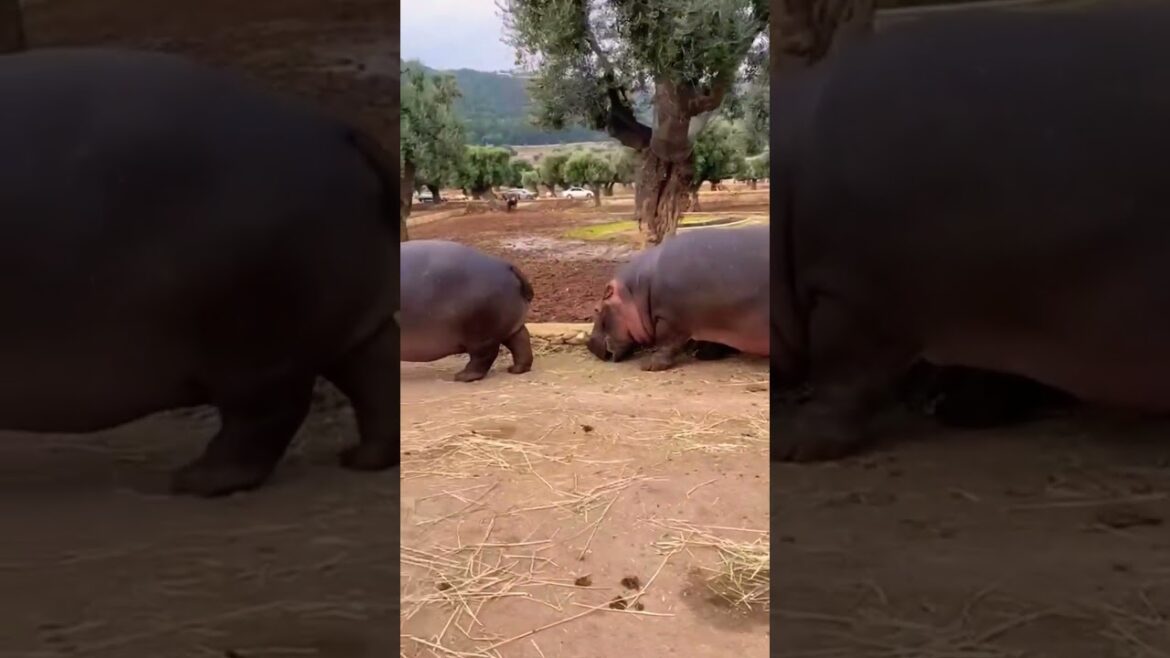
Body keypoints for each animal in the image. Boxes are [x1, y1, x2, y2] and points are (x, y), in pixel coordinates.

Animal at [0, 48, 399, 496]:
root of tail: (337, 129)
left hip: (254, 344)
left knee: (269, 414)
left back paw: (195, 480)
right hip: (340, 321)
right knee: (376, 371)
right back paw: (363, 458)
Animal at [400, 240, 534, 381]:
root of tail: (507, 266)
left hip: (480, 335)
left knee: (485, 356)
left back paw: (462, 376)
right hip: (510, 326)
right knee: (521, 341)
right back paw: (516, 369)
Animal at [587, 226, 768, 370]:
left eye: (596, 309)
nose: (588, 344)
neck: (635, 291)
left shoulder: (669, 319)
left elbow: (666, 342)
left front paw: (649, 366)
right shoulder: (714, 319)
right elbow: (712, 341)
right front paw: (701, 354)